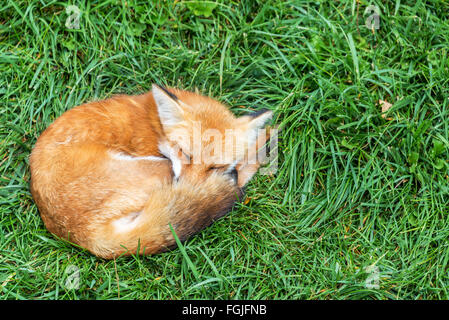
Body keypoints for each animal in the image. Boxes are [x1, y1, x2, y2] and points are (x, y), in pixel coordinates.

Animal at [30, 85, 272, 260]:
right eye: (185, 154)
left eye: (214, 166)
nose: (189, 188)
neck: (156, 126)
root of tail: (84, 237)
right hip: (159, 168)